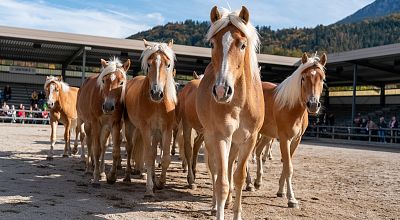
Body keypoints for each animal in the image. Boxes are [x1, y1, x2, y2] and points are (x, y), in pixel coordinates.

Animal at [76, 57, 130, 186]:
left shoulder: (115, 124)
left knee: (103, 145)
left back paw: (101, 170)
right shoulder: (96, 123)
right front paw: (95, 177)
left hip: (105, 128)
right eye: (104, 81)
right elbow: (96, 149)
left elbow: (115, 150)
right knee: (89, 142)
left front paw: (111, 176)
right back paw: (89, 168)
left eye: (121, 82)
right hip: (86, 123)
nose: (108, 107)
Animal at [123, 38, 177, 197]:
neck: (157, 104)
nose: (156, 93)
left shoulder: (166, 129)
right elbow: (148, 156)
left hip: (156, 132)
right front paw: (149, 189)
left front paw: (160, 183)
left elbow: (165, 158)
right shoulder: (146, 128)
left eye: (168, 64)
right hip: (131, 127)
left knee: (153, 152)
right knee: (130, 148)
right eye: (148, 64)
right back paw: (127, 176)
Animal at [196, 6, 266, 219]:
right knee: (215, 170)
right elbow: (222, 182)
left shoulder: (249, 140)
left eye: (242, 45)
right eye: (212, 44)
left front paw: (237, 212)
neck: (239, 104)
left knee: (227, 167)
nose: (221, 90)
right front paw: (219, 209)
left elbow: (238, 178)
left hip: (235, 143)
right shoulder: (221, 137)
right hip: (210, 138)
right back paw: (214, 205)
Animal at [253, 52, 328, 208]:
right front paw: (292, 199)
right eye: (303, 78)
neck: (291, 107)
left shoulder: (296, 140)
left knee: (258, 152)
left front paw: (281, 191)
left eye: (322, 78)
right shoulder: (284, 139)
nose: (313, 105)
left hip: (266, 134)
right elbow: (288, 167)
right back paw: (249, 183)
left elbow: (286, 164)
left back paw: (257, 182)